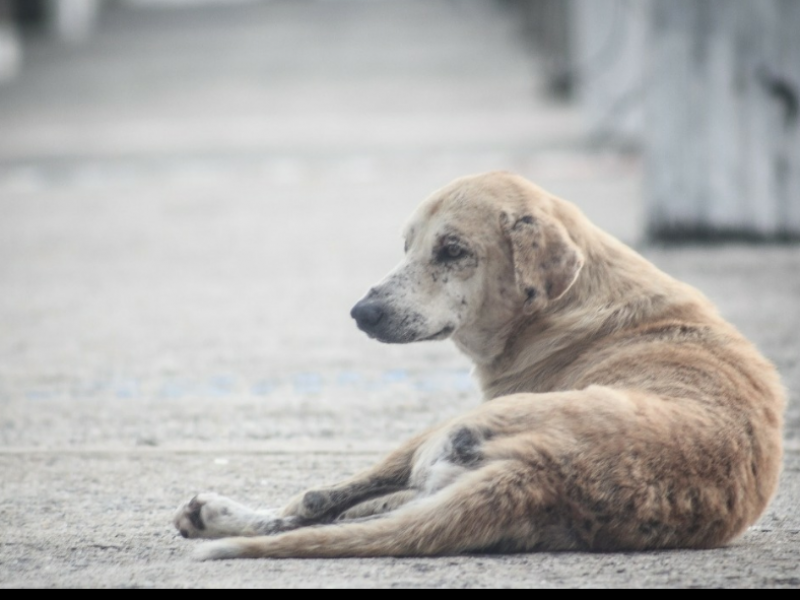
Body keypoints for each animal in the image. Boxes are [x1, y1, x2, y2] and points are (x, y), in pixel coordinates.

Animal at [173, 171, 780, 560]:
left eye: (453, 250)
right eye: (407, 246)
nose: (361, 313)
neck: (571, 301)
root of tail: (538, 473)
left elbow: (321, 499)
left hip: (440, 433)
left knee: (315, 506)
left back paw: (217, 517)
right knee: (364, 515)